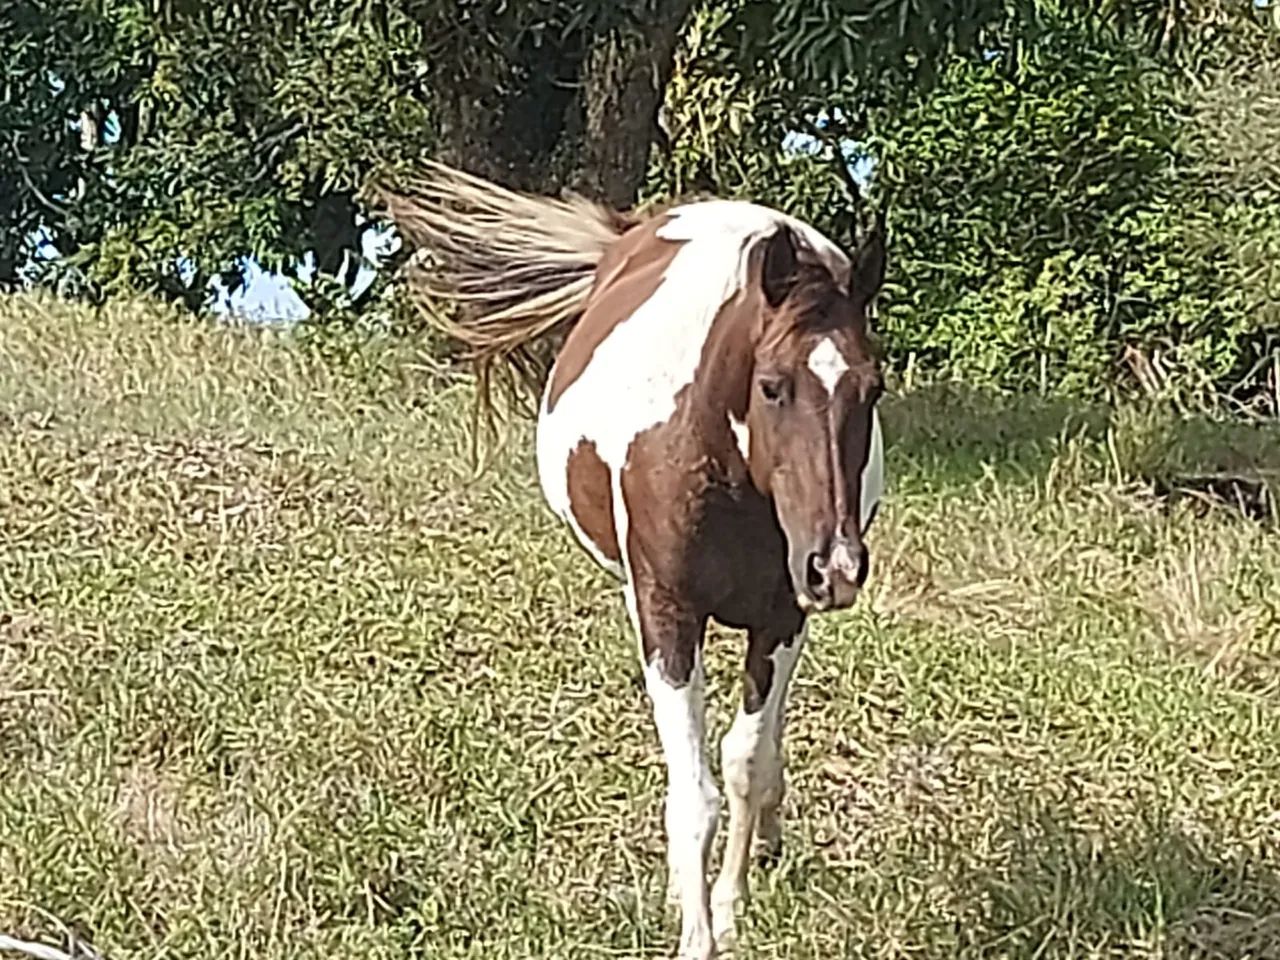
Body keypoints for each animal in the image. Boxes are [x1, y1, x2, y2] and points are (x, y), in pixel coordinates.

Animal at [383, 163, 886, 959]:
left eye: (873, 388)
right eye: (772, 385)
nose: (834, 566)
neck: (725, 470)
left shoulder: (781, 618)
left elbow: (745, 762)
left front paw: (731, 907)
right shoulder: (666, 615)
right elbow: (695, 797)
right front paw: (696, 929)